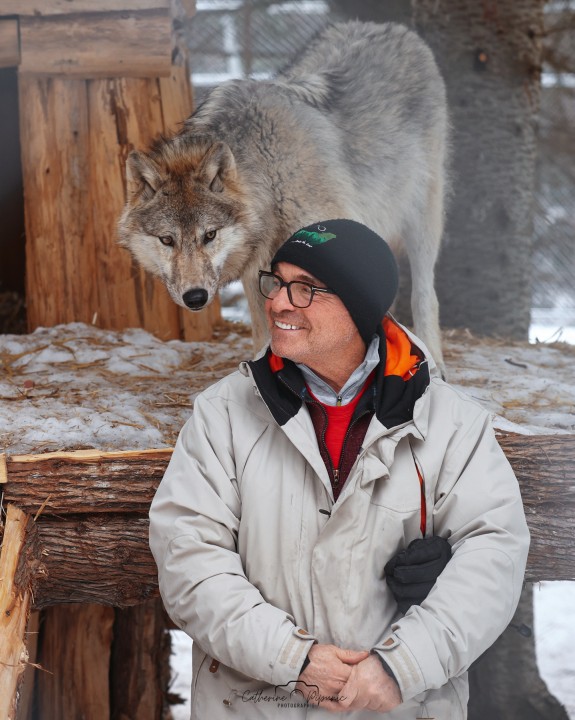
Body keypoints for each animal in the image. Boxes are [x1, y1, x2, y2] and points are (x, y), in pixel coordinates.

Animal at [117, 20, 450, 374]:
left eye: (210, 235)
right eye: (167, 240)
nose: (195, 297)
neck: (268, 173)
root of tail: (391, 28)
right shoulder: (258, 271)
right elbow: (268, 336)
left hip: (423, 218)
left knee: (425, 293)